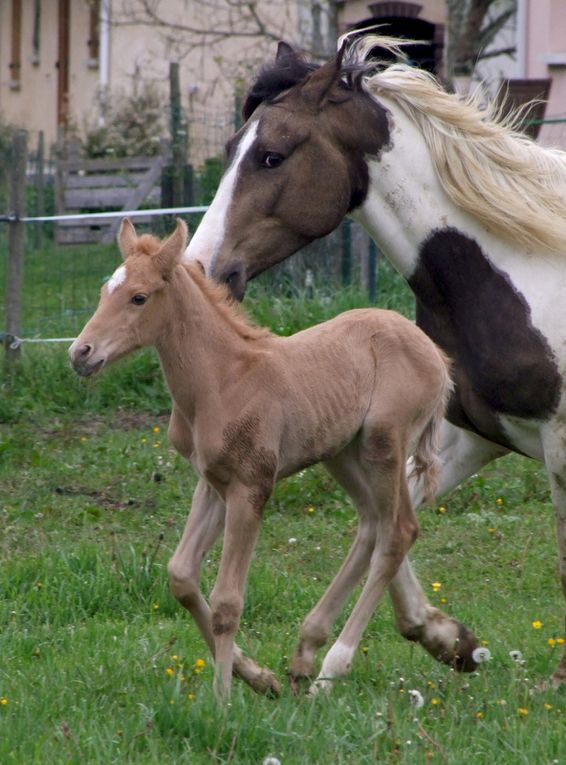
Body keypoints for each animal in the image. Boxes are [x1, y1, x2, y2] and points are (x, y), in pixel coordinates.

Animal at [70, 219, 452, 700]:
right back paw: (305, 655)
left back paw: (330, 670)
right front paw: (256, 676)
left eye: (139, 297)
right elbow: (181, 575)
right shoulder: (213, 482)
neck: (222, 380)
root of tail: (435, 354)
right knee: (371, 523)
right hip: (341, 452)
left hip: (385, 444)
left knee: (398, 531)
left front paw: (221, 700)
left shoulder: (252, 486)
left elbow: (228, 601)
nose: (80, 353)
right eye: (106, 289)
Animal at [185, 34, 566, 688]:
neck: (520, 271)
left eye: (272, 157)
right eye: (233, 149)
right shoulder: (471, 435)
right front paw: (444, 637)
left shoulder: (559, 445)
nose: (200, 269)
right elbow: (390, 525)